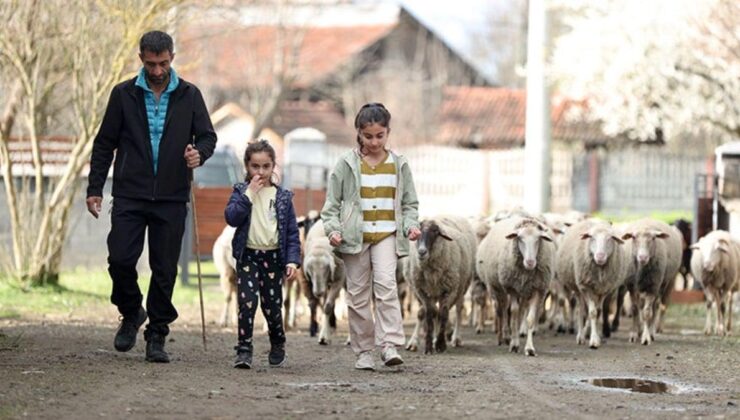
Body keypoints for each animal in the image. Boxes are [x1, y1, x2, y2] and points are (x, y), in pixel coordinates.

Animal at [404, 215, 474, 356]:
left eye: (435, 232)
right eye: (417, 232)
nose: (421, 252)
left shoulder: (449, 289)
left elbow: (443, 314)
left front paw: (440, 344)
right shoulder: (421, 291)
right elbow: (429, 314)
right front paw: (428, 345)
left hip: (461, 288)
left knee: (458, 310)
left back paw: (455, 338)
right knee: (430, 312)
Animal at [476, 215, 552, 356]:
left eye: (538, 239)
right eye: (520, 238)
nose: (530, 262)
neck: (526, 272)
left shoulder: (537, 288)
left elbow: (529, 318)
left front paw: (529, 348)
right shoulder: (512, 288)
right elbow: (514, 314)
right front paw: (514, 344)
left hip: (521, 291)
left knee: (513, 309)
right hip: (496, 287)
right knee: (502, 310)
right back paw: (503, 337)